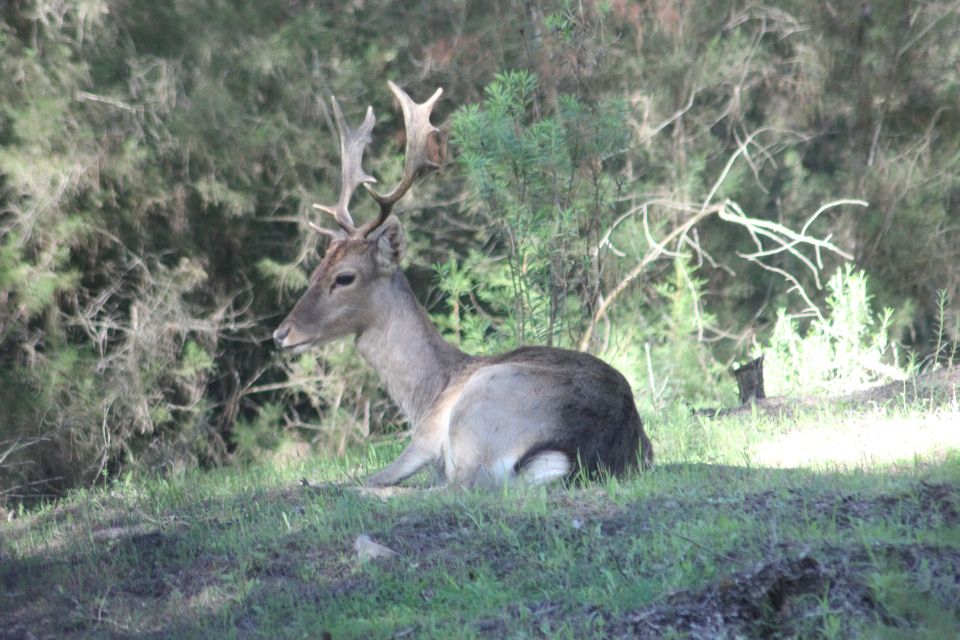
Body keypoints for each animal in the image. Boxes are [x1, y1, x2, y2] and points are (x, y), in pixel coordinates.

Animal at [274, 81, 656, 490]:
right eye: (317, 268)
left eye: (344, 277)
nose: (281, 333)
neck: (428, 393)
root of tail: (583, 454)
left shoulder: (425, 436)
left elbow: (365, 479)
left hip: (480, 412)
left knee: (451, 486)